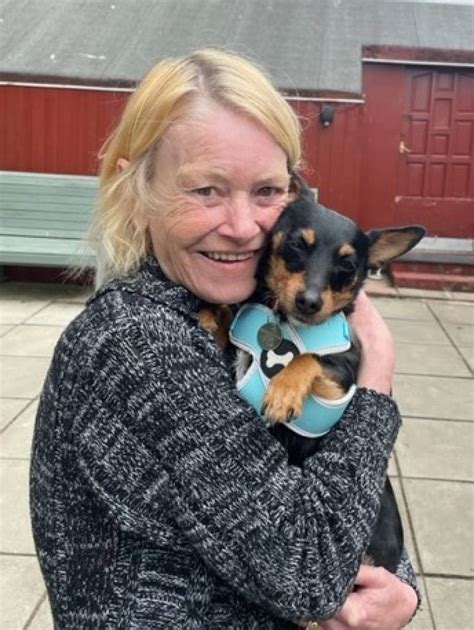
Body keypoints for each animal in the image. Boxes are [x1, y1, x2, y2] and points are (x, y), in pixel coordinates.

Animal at [201, 177, 425, 573]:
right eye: (296, 245)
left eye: (347, 265)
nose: (309, 301)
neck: (287, 322)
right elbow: (230, 326)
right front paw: (213, 312)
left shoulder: (340, 385)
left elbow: (309, 359)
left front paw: (283, 391)